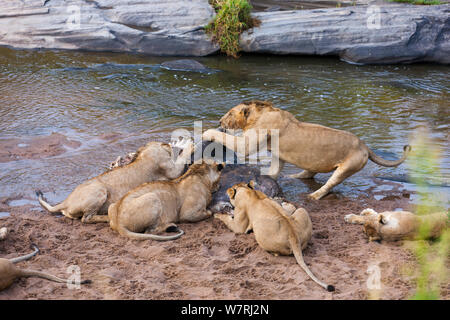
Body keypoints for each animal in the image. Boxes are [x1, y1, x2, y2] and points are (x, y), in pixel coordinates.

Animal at [36, 139, 193, 224]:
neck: (144, 151)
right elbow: (182, 157)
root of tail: (66, 201)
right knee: (86, 218)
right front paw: (189, 144)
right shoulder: (171, 169)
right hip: (99, 190)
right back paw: (107, 217)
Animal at [204, 100, 412, 200]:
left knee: (329, 185)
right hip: (316, 162)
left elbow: (228, 138)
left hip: (347, 167)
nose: (220, 121)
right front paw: (270, 179)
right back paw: (293, 176)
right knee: (309, 173)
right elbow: (274, 171)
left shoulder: (247, 144)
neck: (259, 114)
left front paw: (208, 131)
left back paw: (313, 196)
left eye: (229, 113)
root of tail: (364, 145)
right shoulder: (278, 155)